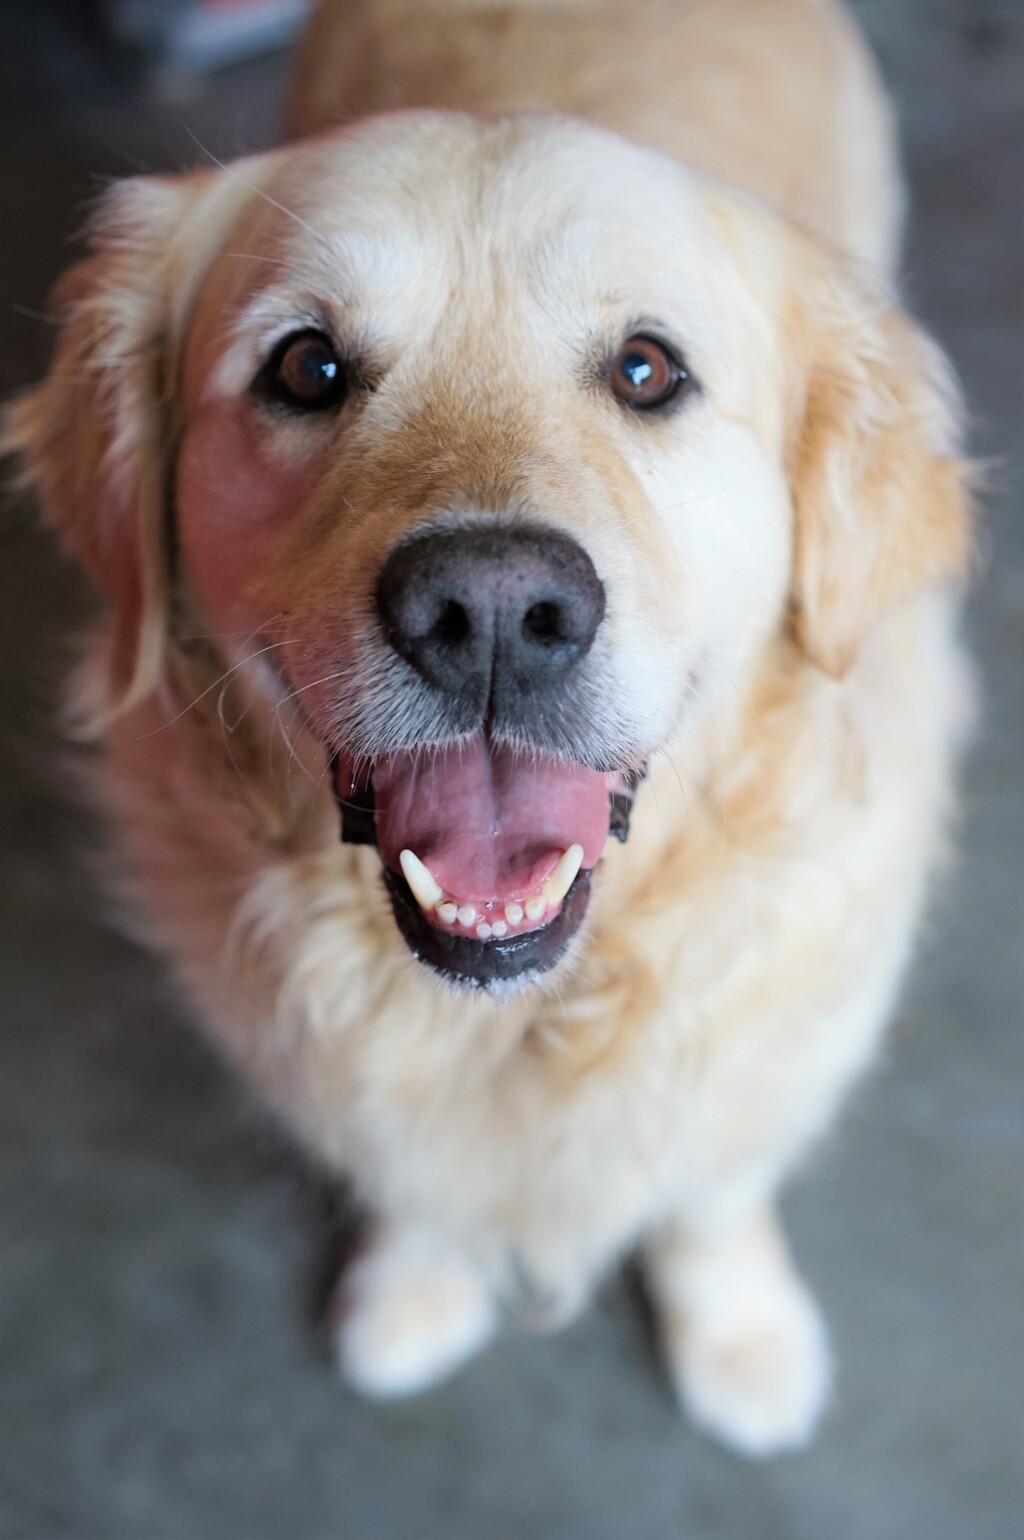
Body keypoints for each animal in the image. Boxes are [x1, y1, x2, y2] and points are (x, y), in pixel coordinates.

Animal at [5, 0, 967, 1453]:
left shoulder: (782, 1006)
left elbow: (716, 1183)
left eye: (647, 369)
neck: (521, 1013)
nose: (496, 611)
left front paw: (743, 1340)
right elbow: (415, 1174)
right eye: (306, 366)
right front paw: (415, 1290)